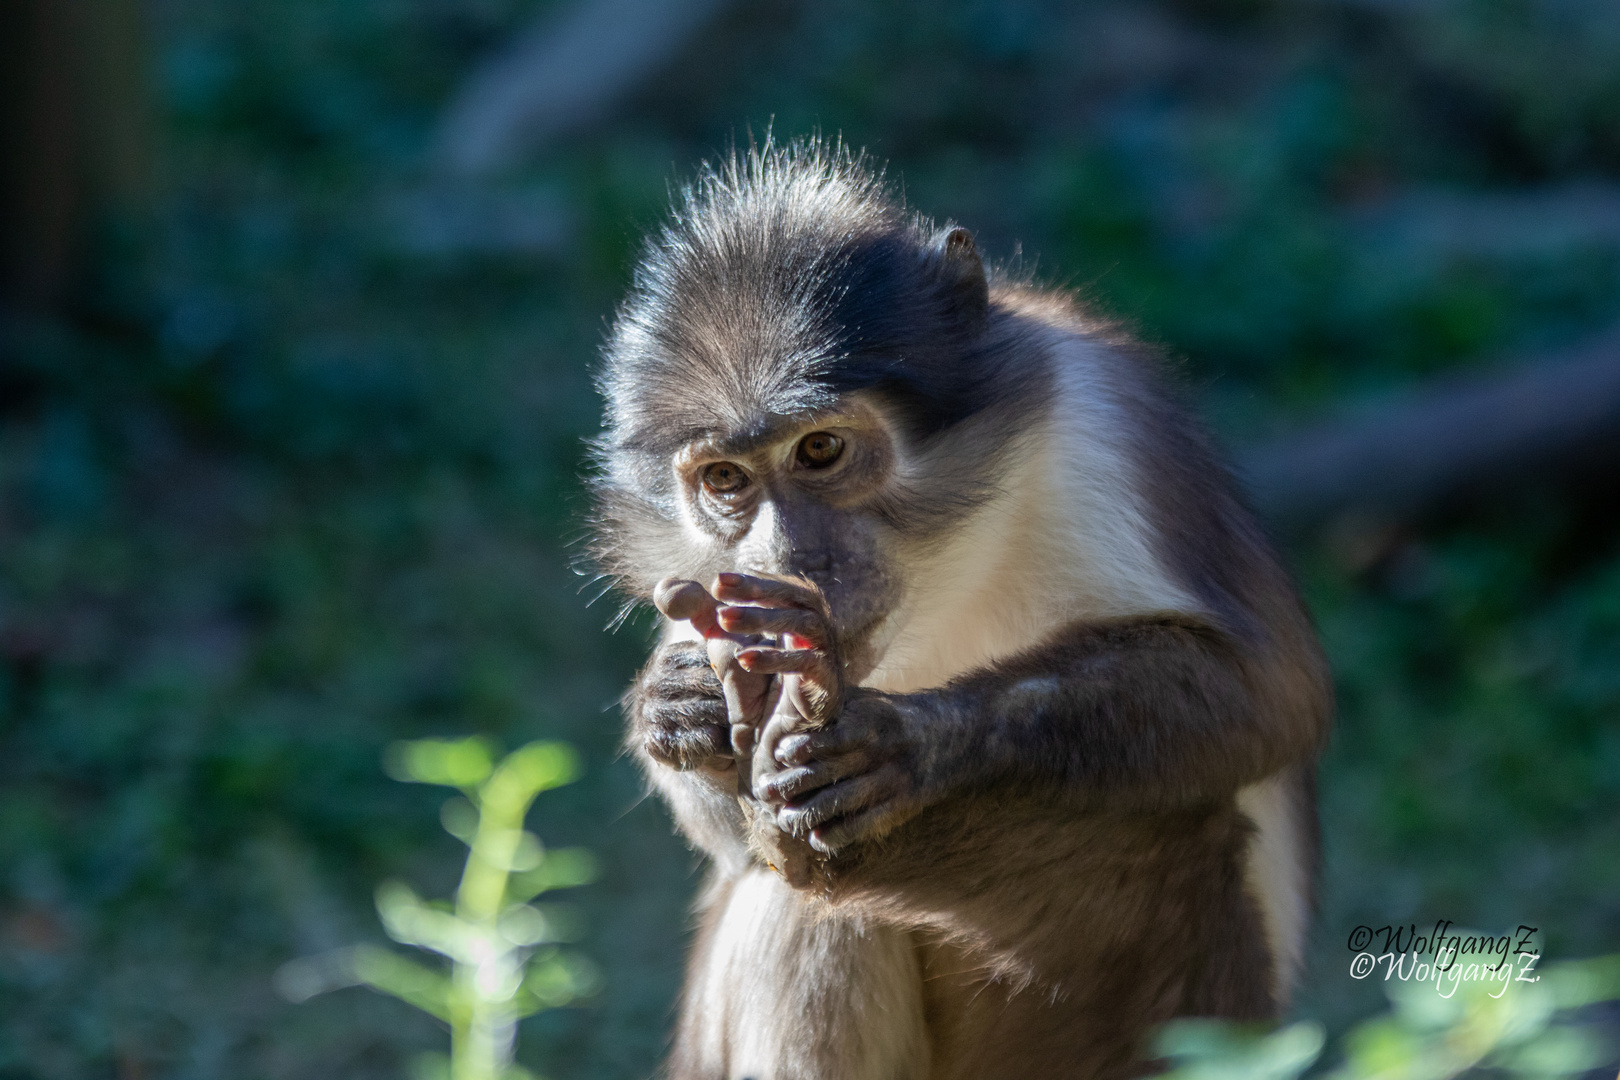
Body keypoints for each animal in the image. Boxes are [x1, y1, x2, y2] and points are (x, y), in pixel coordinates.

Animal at [589, 139, 1334, 1075]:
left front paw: (909, 743)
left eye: (821, 449)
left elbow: (1271, 692)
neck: (949, 564)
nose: (792, 561)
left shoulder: (1104, 424)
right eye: (726, 480)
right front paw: (678, 700)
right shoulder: (705, 580)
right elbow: (726, 833)